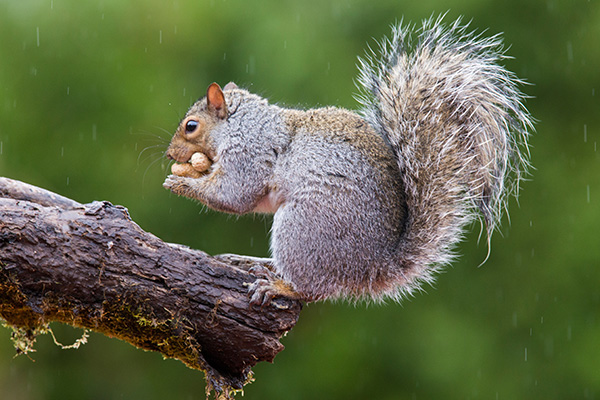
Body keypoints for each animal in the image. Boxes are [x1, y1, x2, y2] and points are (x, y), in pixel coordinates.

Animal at [162, 14, 532, 304]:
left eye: (191, 126)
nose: (168, 154)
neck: (239, 123)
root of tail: (371, 266)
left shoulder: (249, 153)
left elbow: (234, 195)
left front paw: (181, 181)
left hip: (302, 228)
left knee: (313, 289)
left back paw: (279, 286)